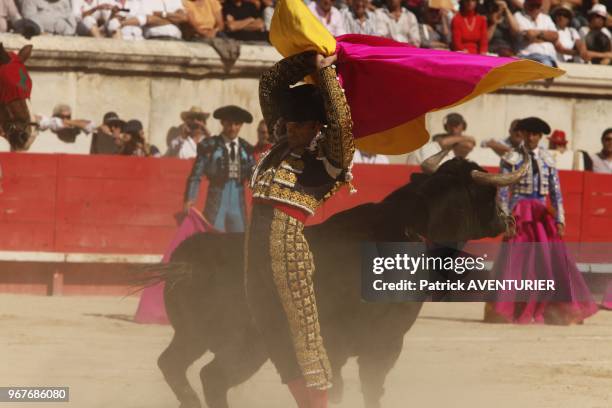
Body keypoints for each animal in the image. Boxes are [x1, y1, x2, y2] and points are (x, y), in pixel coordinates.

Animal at [155, 159, 520, 408]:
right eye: (492, 194)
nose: (510, 220)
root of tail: (188, 261)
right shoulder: (383, 342)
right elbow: (370, 389)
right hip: (246, 345)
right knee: (213, 377)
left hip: (194, 336)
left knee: (172, 364)